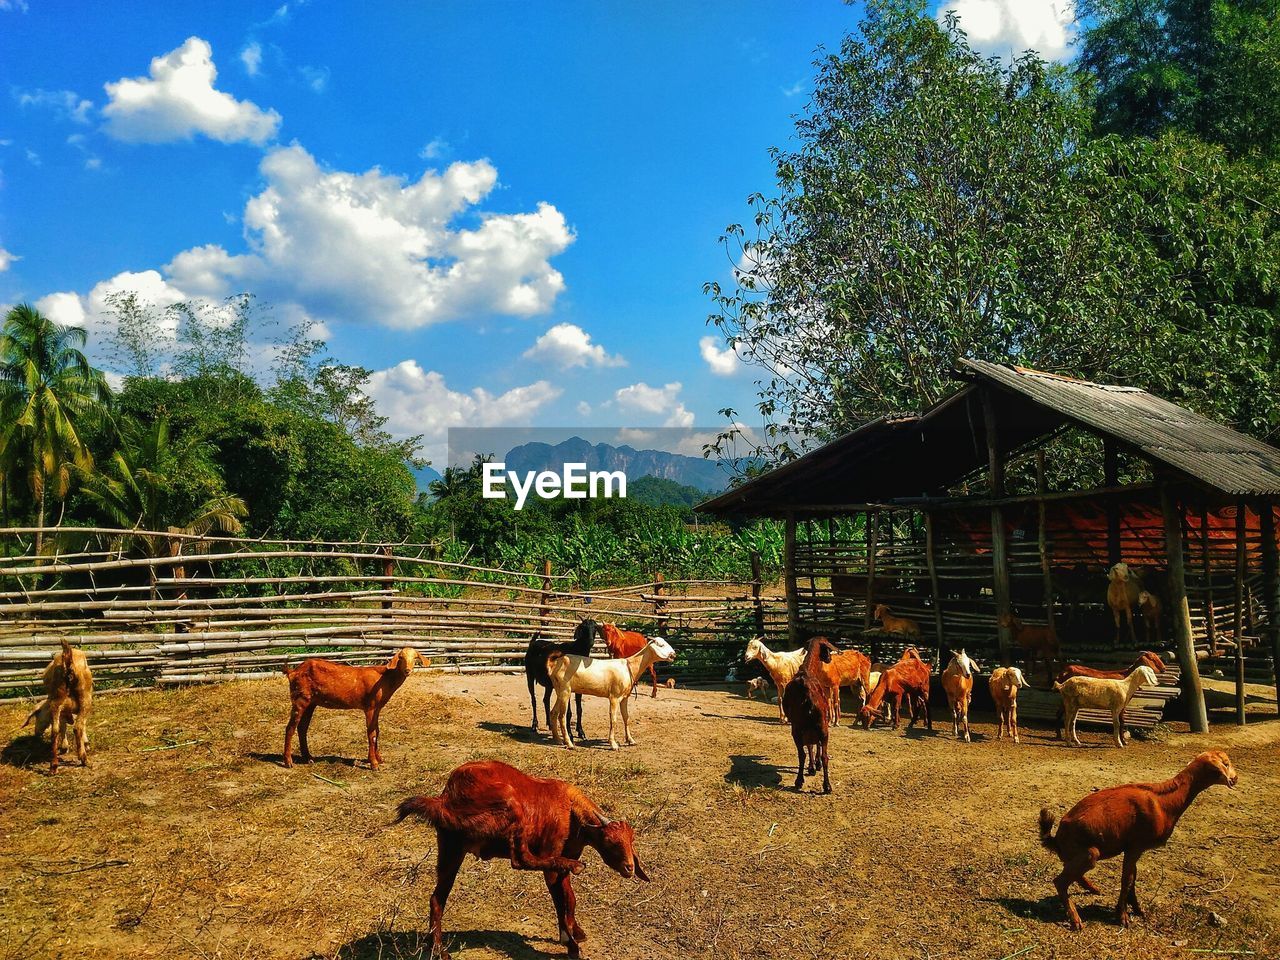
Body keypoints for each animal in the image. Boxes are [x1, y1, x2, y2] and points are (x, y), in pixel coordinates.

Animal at [23, 640, 92, 773]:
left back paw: (54, 766)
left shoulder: (63, 712)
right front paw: (85, 744)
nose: (36, 733)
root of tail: (68, 660)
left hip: (57, 700)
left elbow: (62, 727)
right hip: (85, 699)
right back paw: (84, 759)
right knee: (77, 727)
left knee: (55, 730)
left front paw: (64, 747)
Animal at [282, 647, 422, 773]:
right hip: (299, 699)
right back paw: (288, 761)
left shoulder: (377, 708)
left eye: (415, 658)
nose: (407, 670)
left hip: (310, 703)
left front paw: (378, 759)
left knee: (302, 728)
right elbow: (371, 734)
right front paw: (374, 764)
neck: (384, 678)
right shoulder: (370, 707)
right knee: (290, 728)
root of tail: (292, 672)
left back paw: (308, 758)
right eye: (401, 657)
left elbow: (376, 731)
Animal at [545, 640, 675, 752]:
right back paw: (569, 743)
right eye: (661, 644)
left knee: (553, 712)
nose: (673, 655)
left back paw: (557, 740)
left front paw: (630, 740)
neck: (629, 667)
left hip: (560, 691)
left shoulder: (624, 698)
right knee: (561, 716)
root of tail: (556, 663)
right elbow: (613, 719)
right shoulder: (614, 697)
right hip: (565, 690)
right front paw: (613, 744)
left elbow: (626, 717)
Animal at [778, 640, 839, 798]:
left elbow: (810, 746)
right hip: (822, 728)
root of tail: (808, 694)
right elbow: (815, 746)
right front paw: (814, 766)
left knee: (802, 753)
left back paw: (799, 781)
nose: (830, 658)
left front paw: (812, 767)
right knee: (824, 756)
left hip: (798, 729)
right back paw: (827, 786)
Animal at [1039, 752, 1239, 931]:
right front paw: (1122, 917)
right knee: (1060, 882)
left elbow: (1133, 878)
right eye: (1226, 764)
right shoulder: (1135, 847)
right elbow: (1127, 880)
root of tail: (1056, 839)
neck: (1164, 802)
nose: (1235, 778)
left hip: (1078, 856)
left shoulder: (1135, 850)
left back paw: (1093, 889)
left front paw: (1136, 909)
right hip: (1090, 853)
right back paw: (1076, 920)